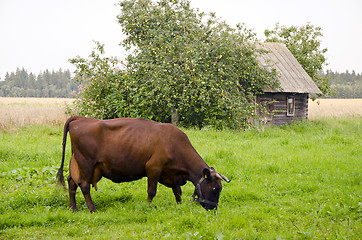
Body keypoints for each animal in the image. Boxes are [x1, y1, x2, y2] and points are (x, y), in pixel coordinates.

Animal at [58, 116, 230, 212]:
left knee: (72, 182)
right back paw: (92, 209)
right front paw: (148, 206)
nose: (213, 209)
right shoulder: (153, 167)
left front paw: (179, 205)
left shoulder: (172, 174)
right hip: (86, 163)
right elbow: (151, 191)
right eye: (215, 189)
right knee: (84, 185)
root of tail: (80, 118)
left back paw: (74, 208)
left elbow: (178, 191)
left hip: (77, 163)